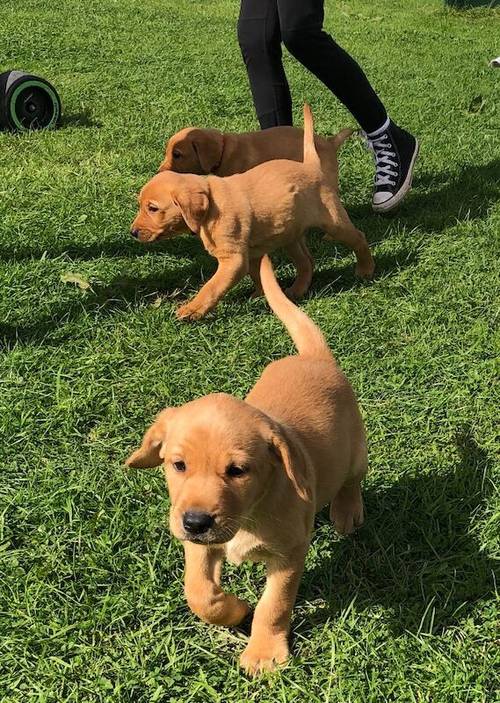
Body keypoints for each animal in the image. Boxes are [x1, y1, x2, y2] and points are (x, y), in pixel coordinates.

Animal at [131, 105, 374, 322]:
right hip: (289, 233)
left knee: (359, 238)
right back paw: (297, 290)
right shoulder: (253, 253)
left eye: (153, 208)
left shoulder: (234, 259)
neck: (210, 208)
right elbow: (258, 275)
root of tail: (312, 164)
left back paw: (365, 269)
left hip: (333, 221)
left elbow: (212, 286)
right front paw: (261, 295)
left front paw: (192, 309)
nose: (132, 232)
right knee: (306, 261)